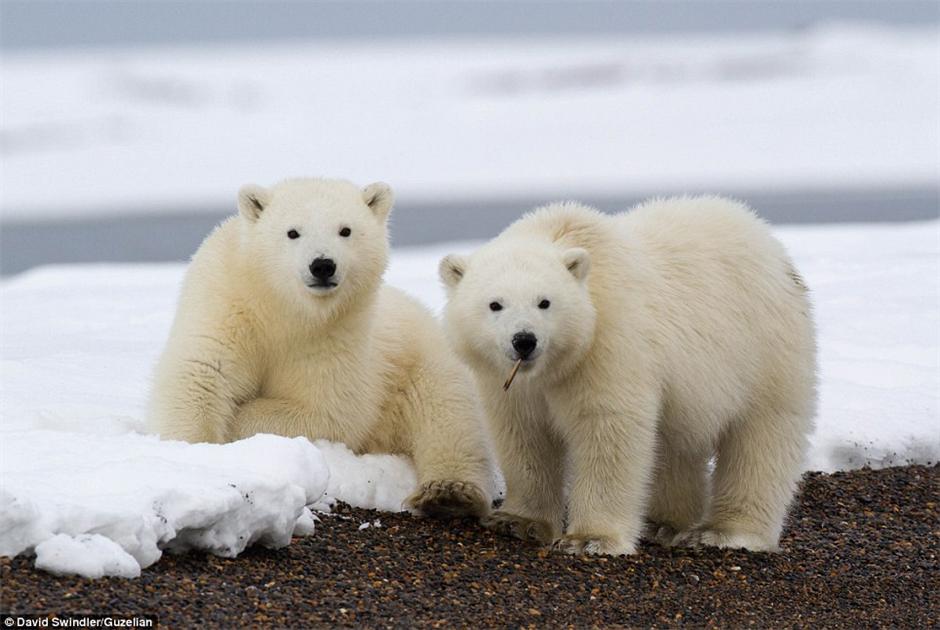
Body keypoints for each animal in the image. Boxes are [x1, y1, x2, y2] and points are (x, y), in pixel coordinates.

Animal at [147, 177, 492, 520]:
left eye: (345, 230)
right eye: (292, 232)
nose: (323, 265)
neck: (282, 308)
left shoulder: (334, 335)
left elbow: (328, 408)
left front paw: (240, 423)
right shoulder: (226, 302)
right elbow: (202, 373)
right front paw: (199, 453)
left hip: (424, 361)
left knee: (447, 417)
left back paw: (449, 493)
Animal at [440, 198, 816, 556]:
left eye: (544, 302)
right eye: (495, 304)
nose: (524, 340)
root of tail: (769, 243)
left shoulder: (609, 344)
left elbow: (607, 427)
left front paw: (589, 539)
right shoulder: (508, 384)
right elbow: (524, 436)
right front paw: (518, 521)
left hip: (764, 349)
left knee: (761, 437)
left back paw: (725, 532)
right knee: (673, 444)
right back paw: (663, 524)